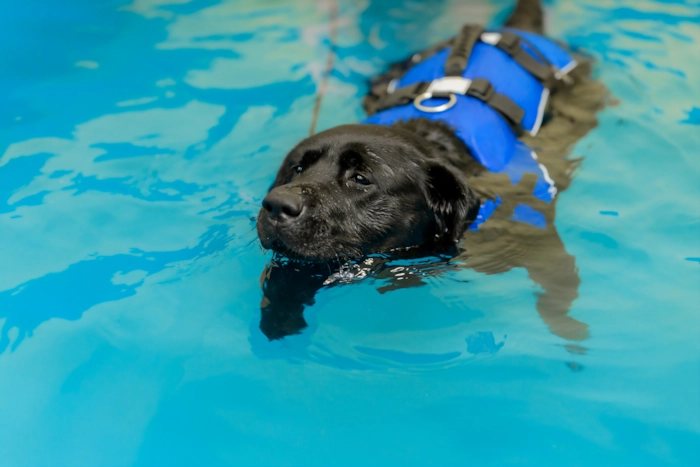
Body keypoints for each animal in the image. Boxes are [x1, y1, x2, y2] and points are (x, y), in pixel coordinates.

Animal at [254, 0, 604, 344]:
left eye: (361, 178)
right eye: (298, 168)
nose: (276, 205)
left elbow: (556, 281)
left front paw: (569, 331)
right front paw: (280, 316)